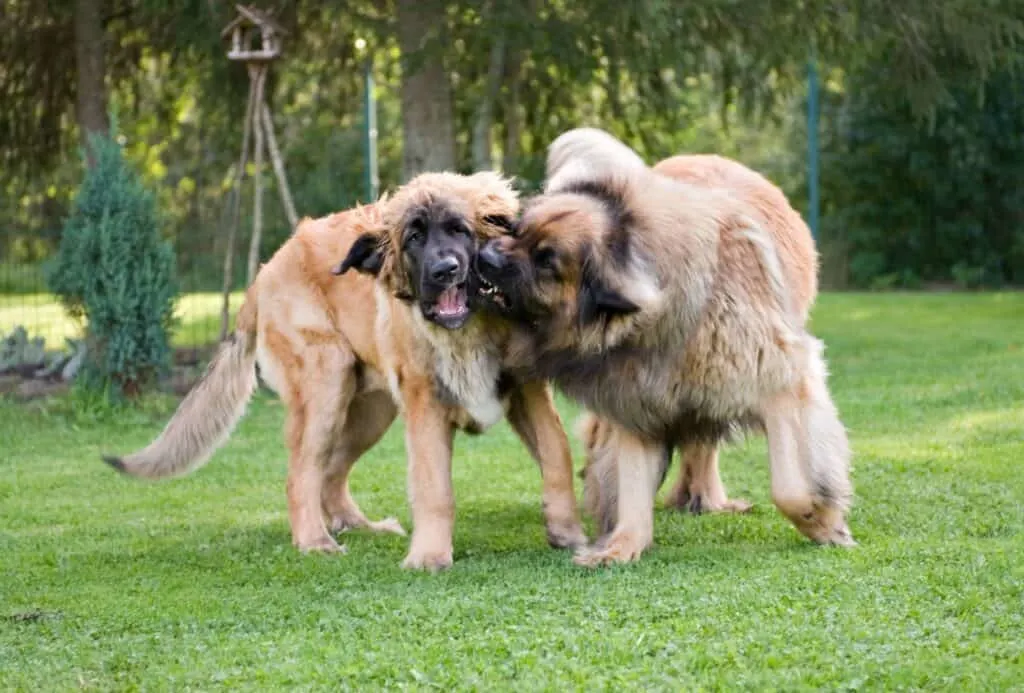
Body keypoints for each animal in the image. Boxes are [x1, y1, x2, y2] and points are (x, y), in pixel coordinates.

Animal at [104, 169, 589, 569]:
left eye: (460, 231)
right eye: (414, 238)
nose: (444, 270)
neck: (469, 331)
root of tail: (265, 272)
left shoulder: (529, 393)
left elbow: (557, 456)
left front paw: (567, 531)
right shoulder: (426, 409)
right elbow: (435, 488)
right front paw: (430, 555)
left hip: (370, 410)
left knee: (331, 472)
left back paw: (360, 526)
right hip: (326, 385)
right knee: (302, 475)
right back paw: (314, 540)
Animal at [479, 126, 856, 565]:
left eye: (546, 261)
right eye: (516, 230)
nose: (483, 254)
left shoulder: (782, 380)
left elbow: (791, 487)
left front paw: (825, 524)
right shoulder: (635, 398)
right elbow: (632, 484)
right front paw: (621, 545)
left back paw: (707, 499)